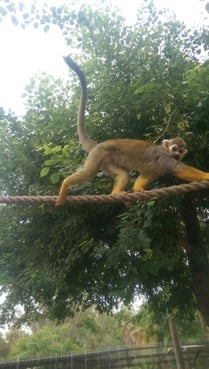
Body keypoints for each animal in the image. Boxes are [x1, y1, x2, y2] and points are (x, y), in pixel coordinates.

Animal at [55, 55, 209, 204]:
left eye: (181, 151)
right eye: (174, 149)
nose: (177, 155)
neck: (166, 152)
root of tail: (98, 144)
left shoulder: (157, 167)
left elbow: (146, 174)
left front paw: (138, 188)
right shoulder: (165, 158)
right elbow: (179, 169)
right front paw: (207, 176)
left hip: (107, 163)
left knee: (123, 174)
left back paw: (116, 193)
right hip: (98, 155)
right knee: (89, 172)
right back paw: (66, 183)